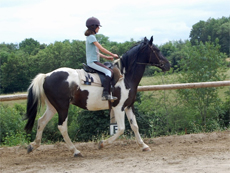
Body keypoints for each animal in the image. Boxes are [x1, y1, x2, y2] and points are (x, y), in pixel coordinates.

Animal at [24, 36, 170, 157]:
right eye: (156, 50)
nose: (167, 64)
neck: (125, 77)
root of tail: (46, 76)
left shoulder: (129, 106)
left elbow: (135, 126)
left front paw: (144, 145)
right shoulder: (118, 108)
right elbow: (121, 129)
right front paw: (102, 143)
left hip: (53, 107)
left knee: (41, 121)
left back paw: (33, 145)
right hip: (62, 108)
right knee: (62, 127)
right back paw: (75, 151)